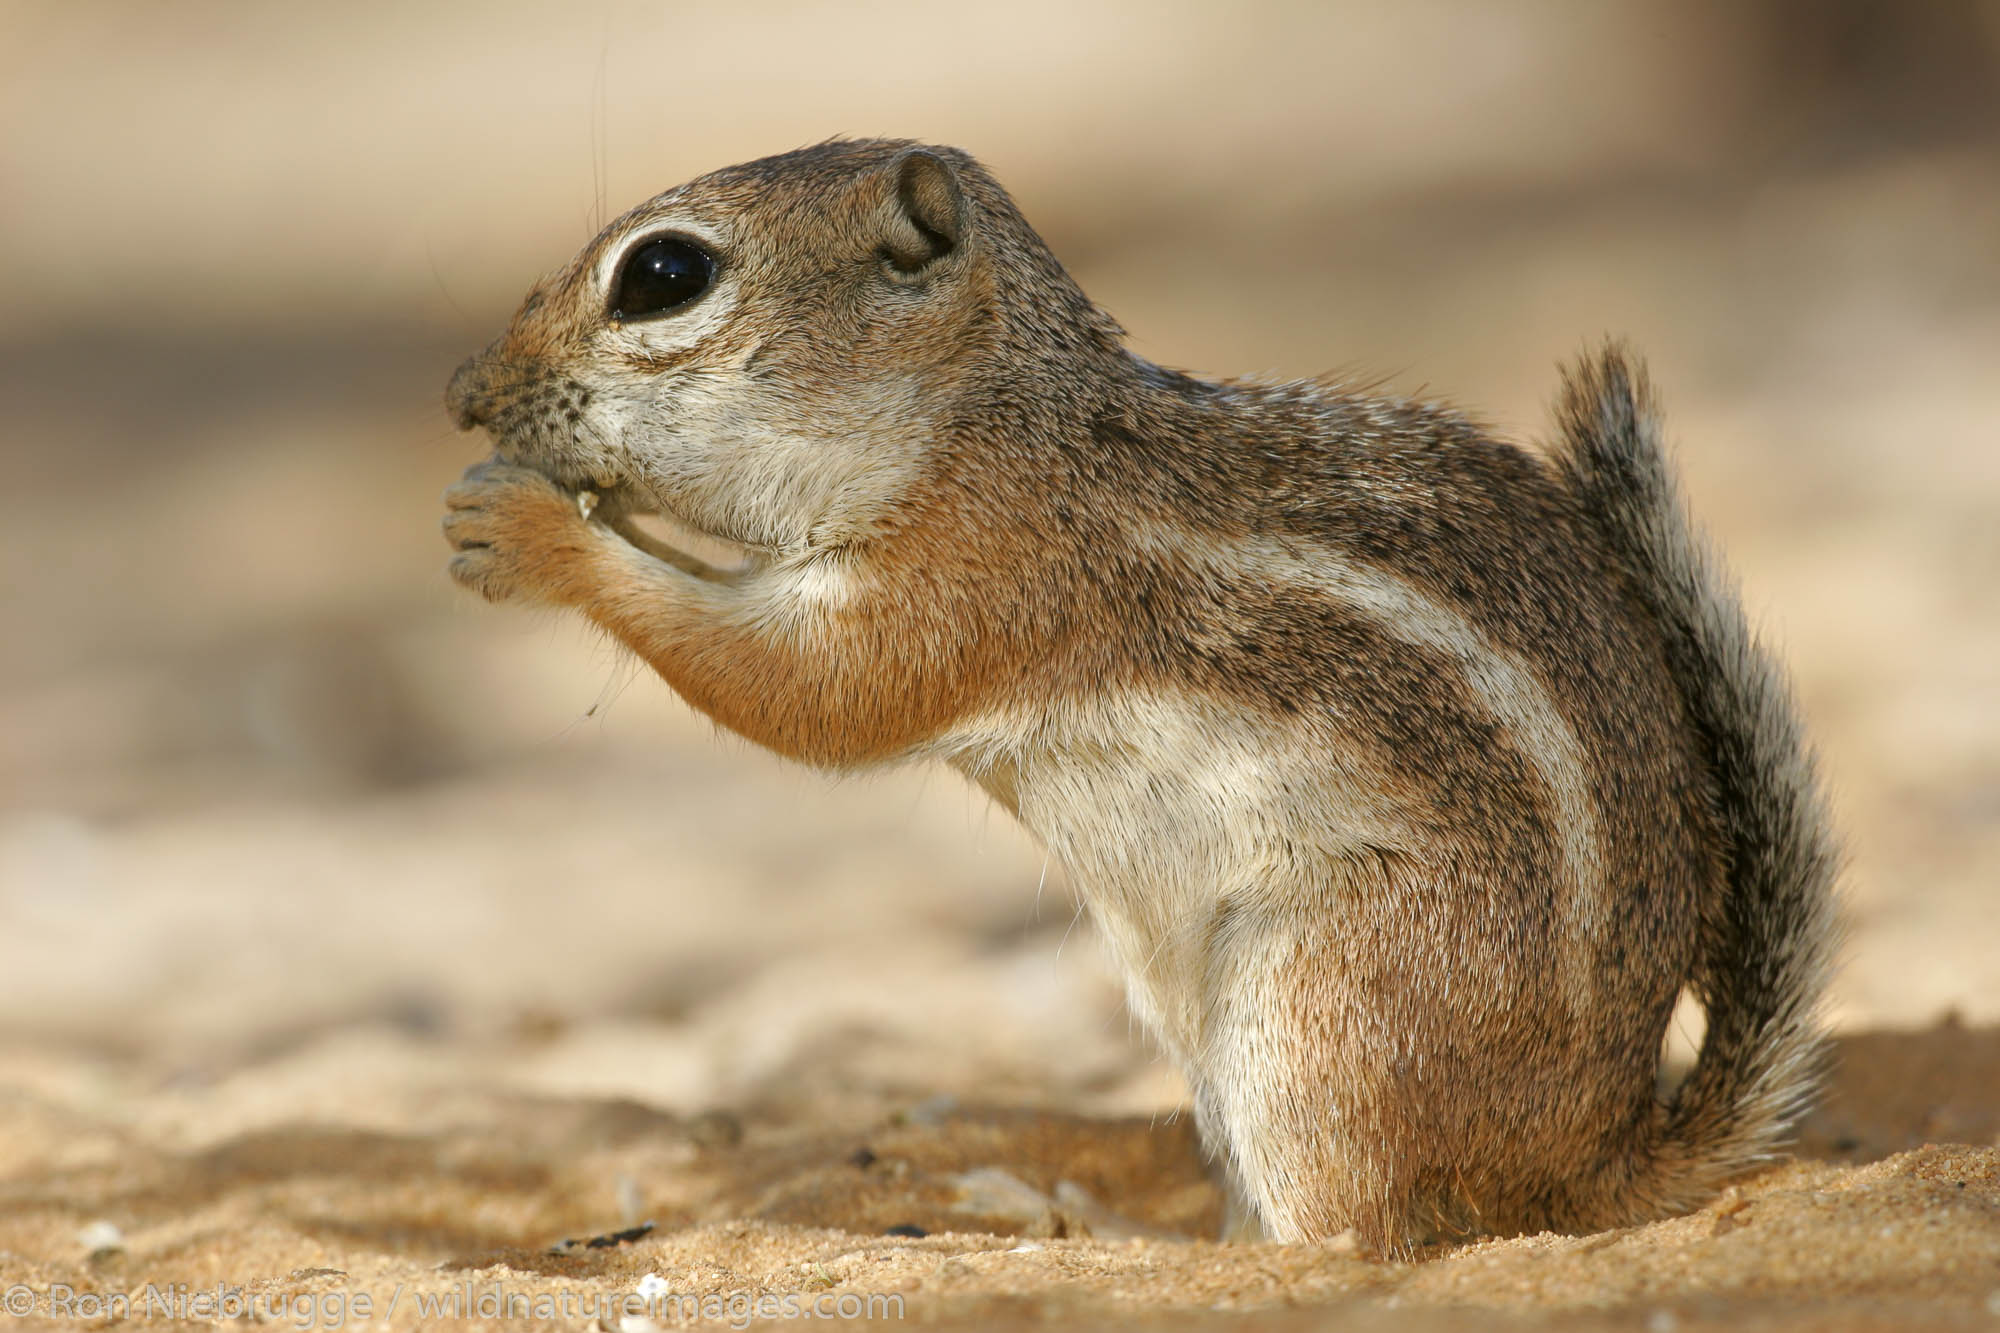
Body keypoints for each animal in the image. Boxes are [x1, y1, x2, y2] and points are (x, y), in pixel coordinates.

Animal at [442, 140, 1840, 1248]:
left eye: (663, 276)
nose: (464, 394)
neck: (983, 411)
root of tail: (1589, 1155)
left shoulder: (982, 569)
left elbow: (818, 697)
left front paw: (526, 529)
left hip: (1313, 1003)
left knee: (1350, 1233)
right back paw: (1073, 1213)